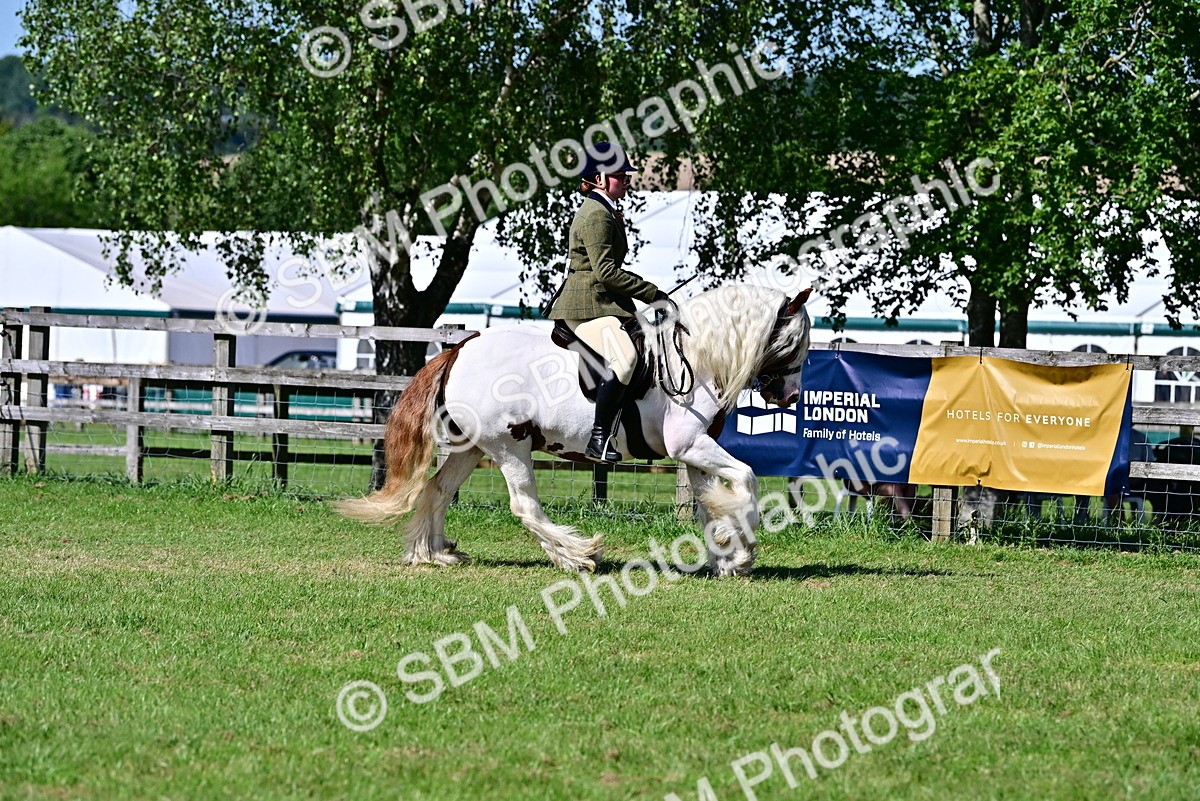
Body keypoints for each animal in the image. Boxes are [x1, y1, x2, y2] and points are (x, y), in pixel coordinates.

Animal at [334, 283, 812, 577]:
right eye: (797, 342)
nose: (789, 397)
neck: (695, 356)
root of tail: (458, 350)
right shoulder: (692, 444)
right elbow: (747, 480)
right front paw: (743, 550)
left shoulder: (694, 451)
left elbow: (710, 504)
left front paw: (726, 555)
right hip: (509, 446)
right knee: (524, 505)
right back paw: (577, 555)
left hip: (472, 447)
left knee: (437, 490)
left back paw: (434, 554)